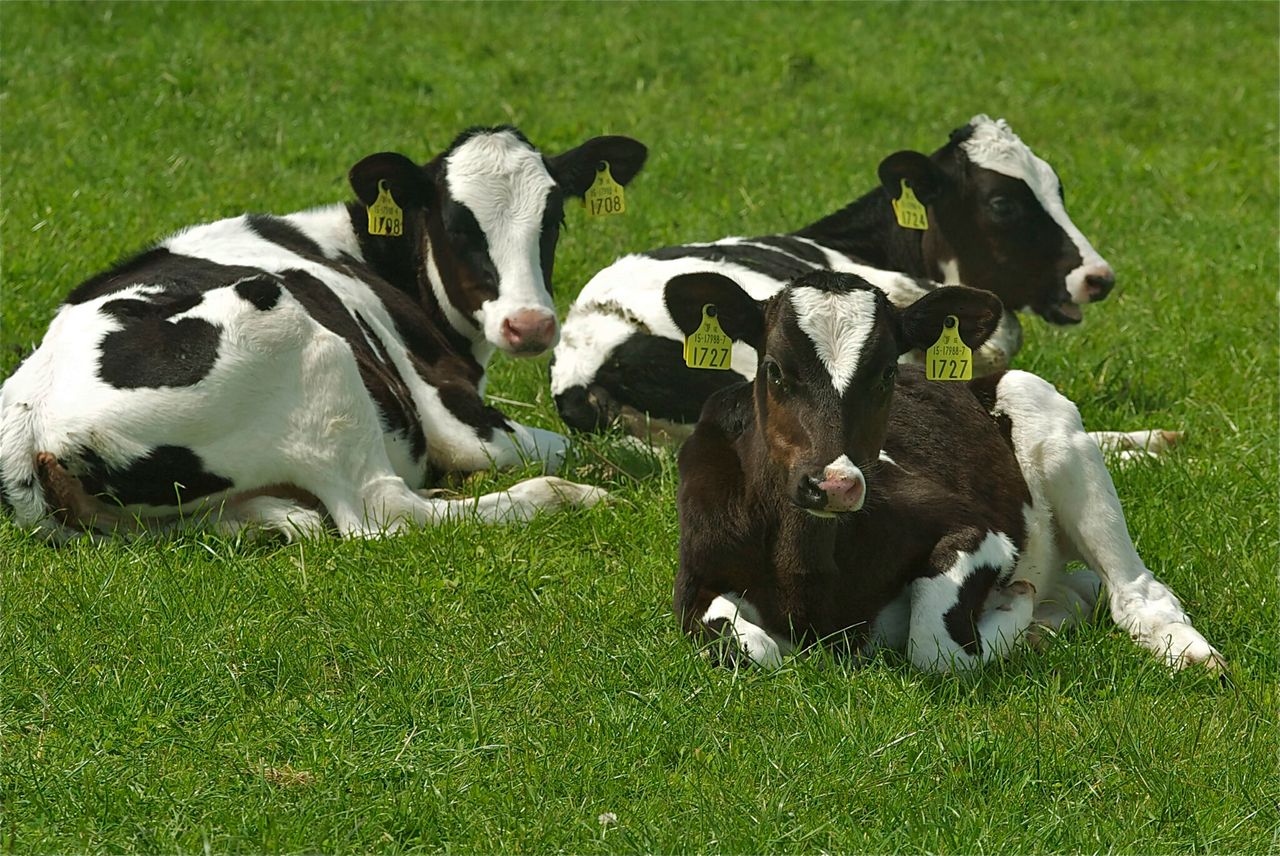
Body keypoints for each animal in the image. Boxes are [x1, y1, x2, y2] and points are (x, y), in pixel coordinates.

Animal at [0, 126, 647, 541]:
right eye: (456, 224)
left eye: (553, 219)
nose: (530, 324)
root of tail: (34, 417)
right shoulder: (457, 419)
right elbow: (592, 443)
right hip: (297, 341)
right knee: (387, 513)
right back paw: (564, 496)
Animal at [671, 269, 1222, 673]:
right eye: (775, 369)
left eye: (886, 372)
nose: (835, 484)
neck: (807, 567)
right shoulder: (693, 582)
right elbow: (752, 648)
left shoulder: (981, 531)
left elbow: (934, 646)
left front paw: (1011, 609)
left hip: (1049, 420)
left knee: (1134, 591)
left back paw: (1187, 651)